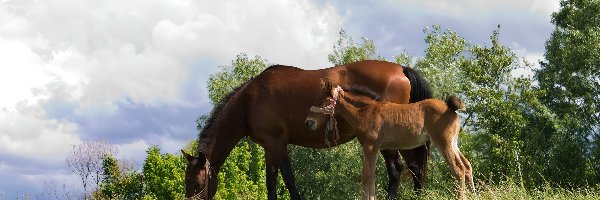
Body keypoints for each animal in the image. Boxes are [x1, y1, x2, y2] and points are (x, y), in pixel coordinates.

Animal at [180, 60, 434, 199]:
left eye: (197, 184)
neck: (249, 101)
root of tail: (402, 70)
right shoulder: (268, 147)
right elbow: (271, 182)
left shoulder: (277, 143)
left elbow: (289, 179)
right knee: (415, 168)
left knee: (397, 170)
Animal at [308, 80, 476, 200]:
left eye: (321, 102)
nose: (308, 122)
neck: (366, 111)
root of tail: (450, 107)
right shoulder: (376, 148)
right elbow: (370, 176)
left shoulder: (370, 146)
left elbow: (367, 176)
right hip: (453, 143)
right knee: (467, 166)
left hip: (443, 143)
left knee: (458, 170)